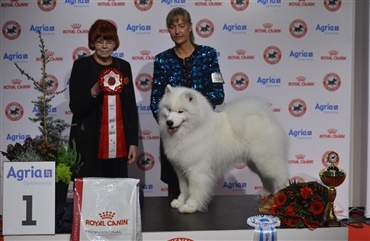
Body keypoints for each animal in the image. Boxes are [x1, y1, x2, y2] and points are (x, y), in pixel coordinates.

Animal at [158, 84, 290, 213]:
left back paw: (285, 198)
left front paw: (190, 206)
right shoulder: (181, 169)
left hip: (266, 160)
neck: (192, 130)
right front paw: (180, 201)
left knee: (282, 177)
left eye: (180, 111)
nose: (169, 122)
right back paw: (266, 193)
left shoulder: (196, 169)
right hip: (255, 163)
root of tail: (265, 118)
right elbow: (184, 188)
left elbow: (195, 189)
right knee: (266, 177)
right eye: (169, 109)